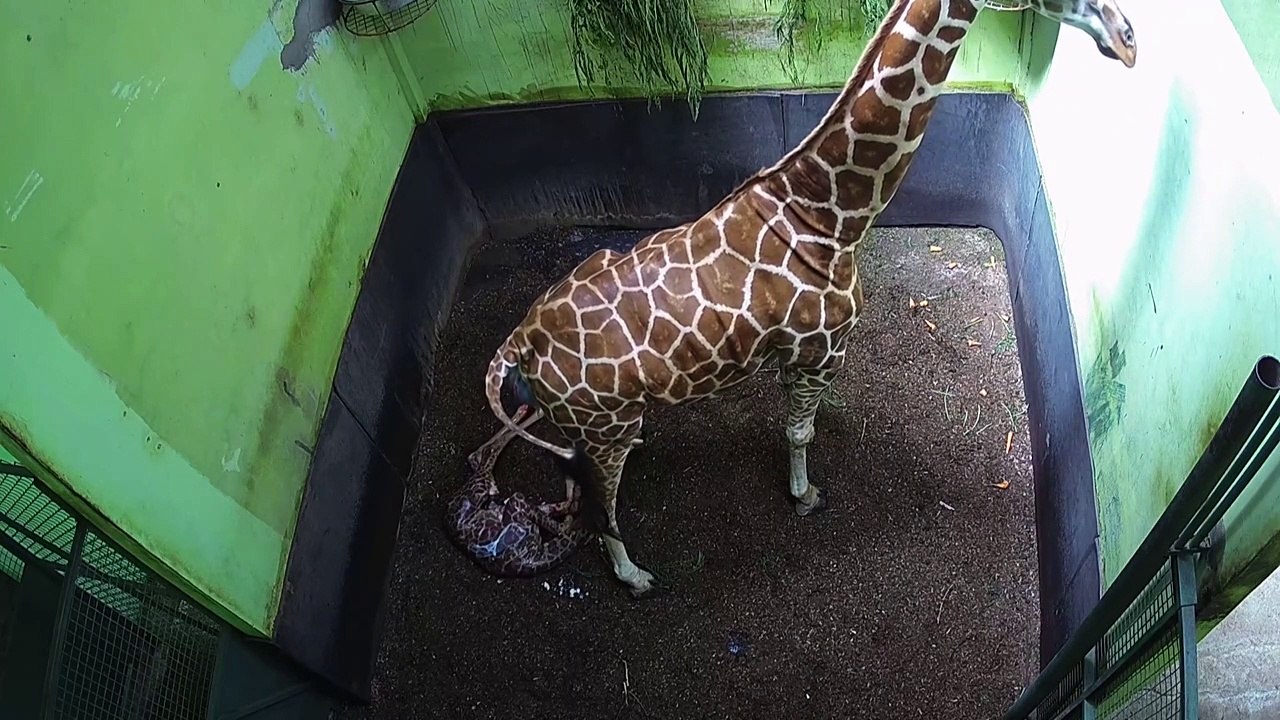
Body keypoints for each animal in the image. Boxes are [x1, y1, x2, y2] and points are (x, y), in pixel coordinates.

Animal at [482, 0, 1137, 597]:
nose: (1128, 42)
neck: (828, 216)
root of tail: (518, 346)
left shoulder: (792, 354)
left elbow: (795, 427)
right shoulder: (820, 350)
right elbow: (801, 433)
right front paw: (805, 497)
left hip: (586, 421)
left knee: (573, 475)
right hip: (606, 423)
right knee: (602, 500)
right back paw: (636, 576)